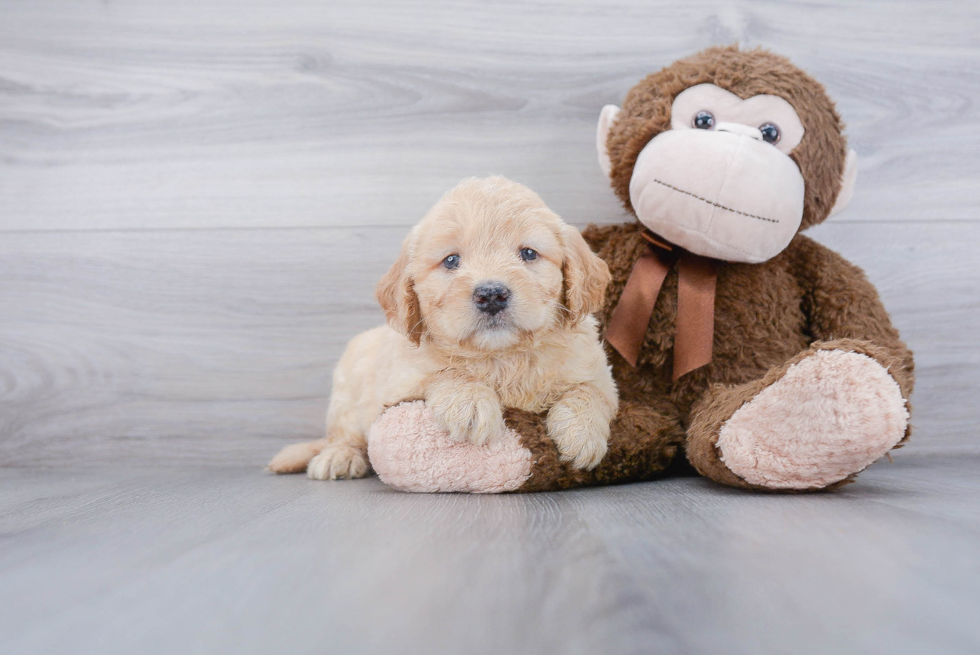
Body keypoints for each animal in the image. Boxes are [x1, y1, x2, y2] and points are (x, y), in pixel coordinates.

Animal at [268, 177, 616, 480]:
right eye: (451, 261)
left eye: (528, 253)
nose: (491, 294)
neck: (502, 357)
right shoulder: (400, 385)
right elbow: (444, 372)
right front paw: (470, 402)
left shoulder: (601, 374)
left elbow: (591, 392)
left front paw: (583, 433)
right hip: (345, 396)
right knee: (345, 436)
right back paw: (338, 457)